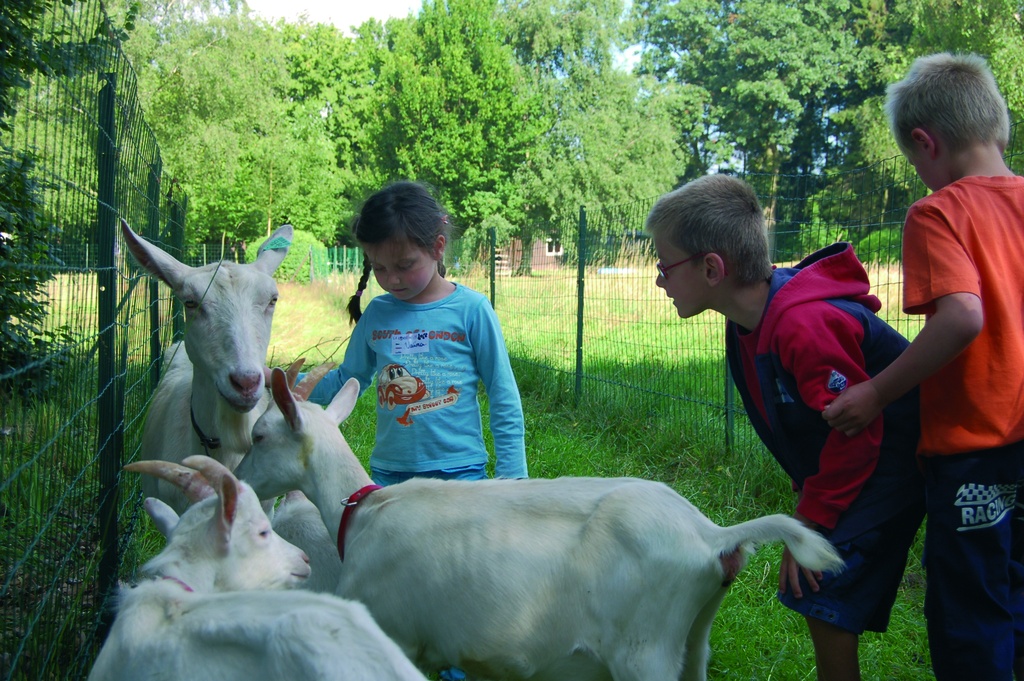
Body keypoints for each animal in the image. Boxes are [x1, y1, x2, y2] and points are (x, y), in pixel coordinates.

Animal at [235, 368, 843, 679]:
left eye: (260, 435)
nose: (236, 477)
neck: (358, 513)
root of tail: (711, 535)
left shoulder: (399, 634)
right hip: (693, 642)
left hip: (644, 652)